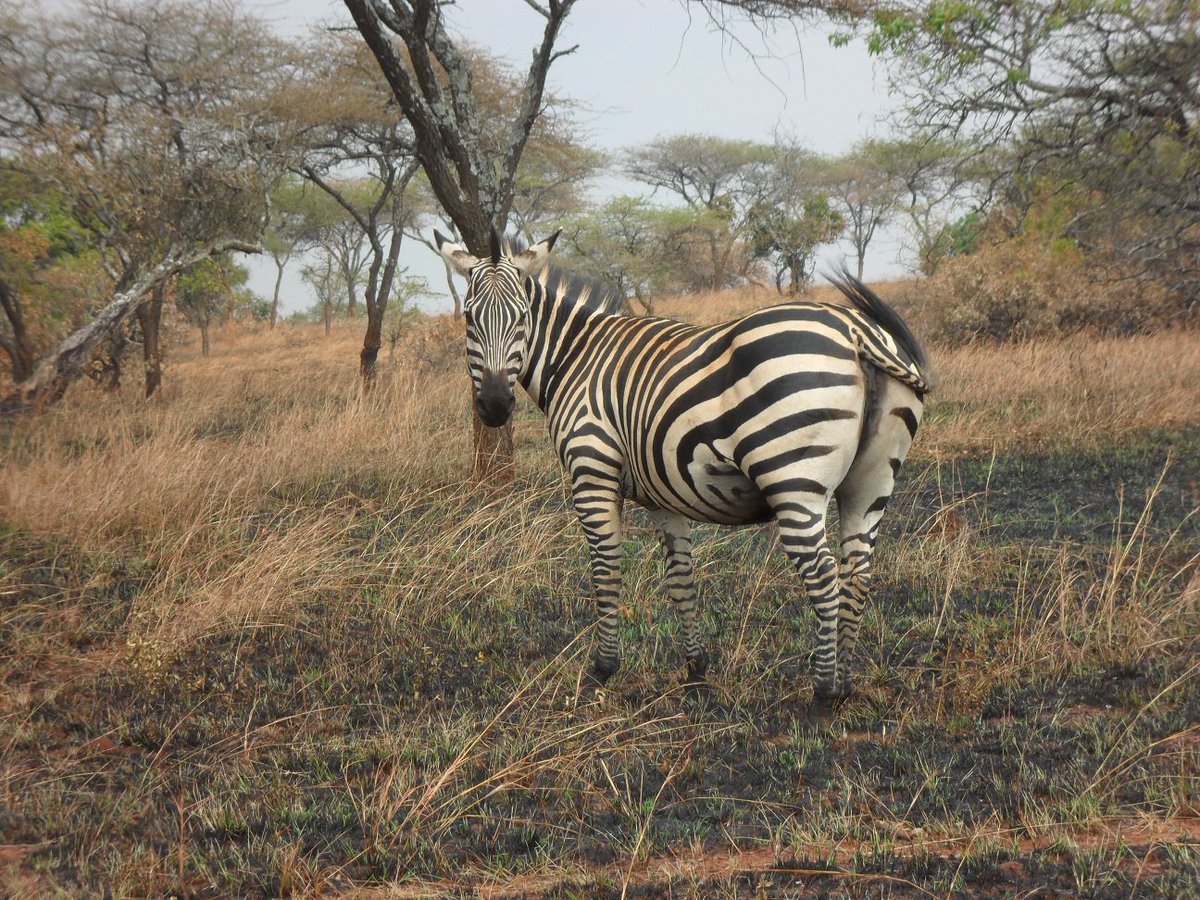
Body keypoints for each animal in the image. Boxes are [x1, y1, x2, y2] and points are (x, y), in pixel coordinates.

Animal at [436, 228, 934, 718]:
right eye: (469, 319)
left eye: (522, 317)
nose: (495, 406)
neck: (576, 358)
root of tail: (854, 328)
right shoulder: (663, 493)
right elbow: (680, 578)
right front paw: (696, 670)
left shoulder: (592, 470)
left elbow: (605, 569)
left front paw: (602, 670)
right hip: (871, 482)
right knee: (858, 573)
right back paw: (846, 683)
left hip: (794, 479)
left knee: (825, 577)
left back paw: (824, 694)